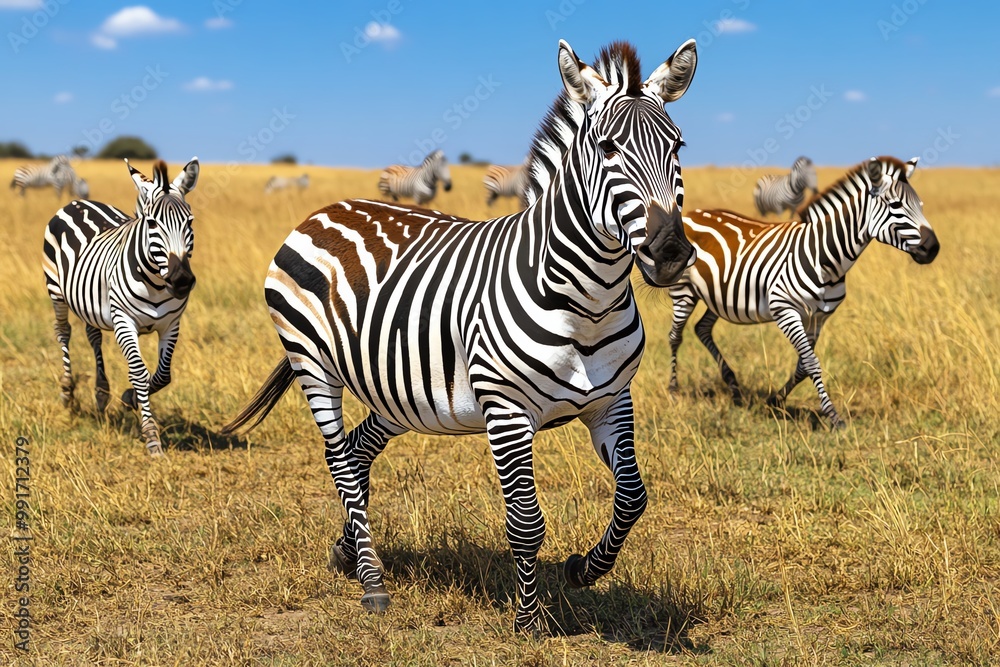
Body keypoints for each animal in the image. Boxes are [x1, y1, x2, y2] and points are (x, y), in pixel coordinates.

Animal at [43, 158, 200, 456]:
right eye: (152, 223)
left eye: (189, 222)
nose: (182, 280)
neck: (156, 283)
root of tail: (77, 201)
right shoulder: (124, 321)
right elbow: (138, 371)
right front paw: (151, 436)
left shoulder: (171, 324)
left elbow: (163, 375)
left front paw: (130, 398)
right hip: (55, 289)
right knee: (63, 332)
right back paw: (67, 391)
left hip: (89, 300)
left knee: (93, 337)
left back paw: (101, 393)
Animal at [222, 39, 698, 632]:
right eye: (608, 148)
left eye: (678, 147)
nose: (671, 252)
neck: (586, 303)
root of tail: (325, 209)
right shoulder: (507, 409)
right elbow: (526, 522)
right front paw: (528, 622)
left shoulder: (612, 401)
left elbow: (633, 497)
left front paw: (583, 570)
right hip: (313, 363)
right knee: (339, 459)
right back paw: (373, 582)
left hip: (399, 389)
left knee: (357, 451)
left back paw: (348, 553)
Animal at [666, 157, 939, 428]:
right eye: (896, 205)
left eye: (921, 205)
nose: (933, 248)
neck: (826, 258)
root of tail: (691, 214)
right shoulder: (785, 310)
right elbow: (811, 362)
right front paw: (834, 417)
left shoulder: (819, 317)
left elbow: (801, 366)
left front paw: (775, 400)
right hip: (684, 291)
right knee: (675, 336)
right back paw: (674, 391)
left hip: (719, 295)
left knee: (702, 328)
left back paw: (733, 387)